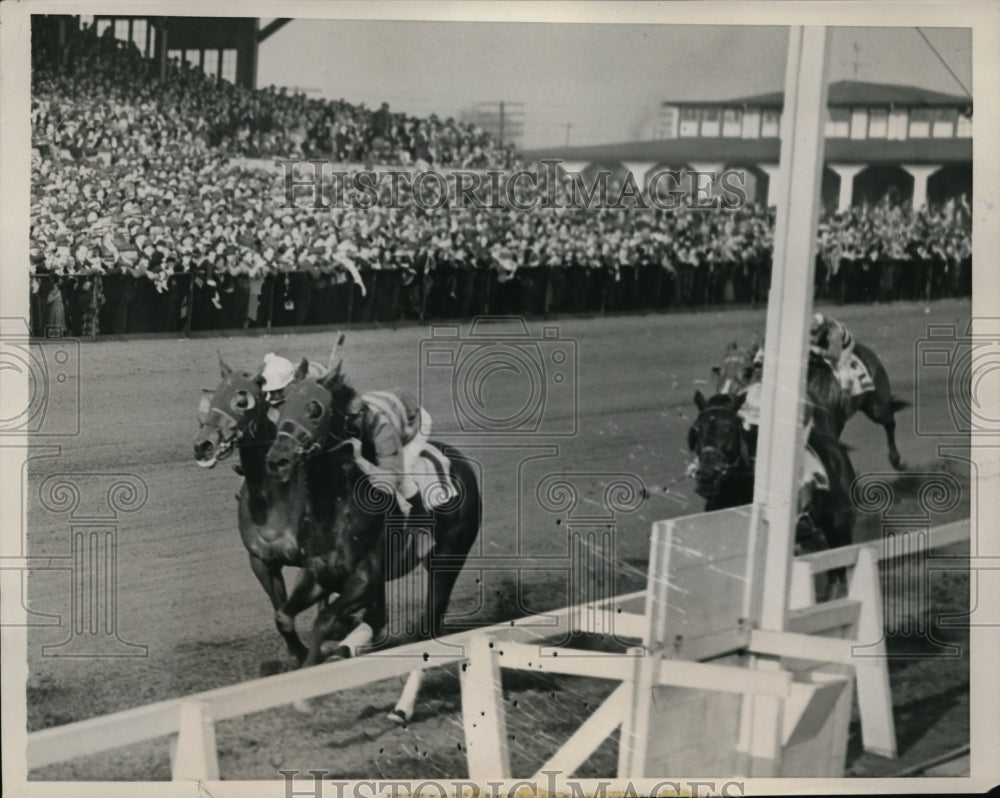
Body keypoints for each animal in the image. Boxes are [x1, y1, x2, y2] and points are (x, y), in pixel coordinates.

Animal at [189, 356, 326, 668]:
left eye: (242, 401)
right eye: (213, 396)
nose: (204, 445)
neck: (273, 501)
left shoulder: (314, 561)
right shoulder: (262, 562)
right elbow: (281, 616)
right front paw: (296, 655)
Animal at [266, 362, 484, 724]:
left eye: (315, 409)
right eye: (281, 407)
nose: (276, 459)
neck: (337, 506)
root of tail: (462, 462)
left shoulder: (364, 577)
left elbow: (325, 620)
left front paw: (307, 695)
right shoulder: (317, 574)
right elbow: (284, 616)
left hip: (447, 562)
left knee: (426, 631)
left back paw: (402, 708)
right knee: (379, 621)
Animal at [716, 340, 912, 472]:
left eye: (747, 372)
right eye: (720, 372)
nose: (722, 397)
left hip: (876, 406)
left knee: (889, 422)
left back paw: (897, 460)